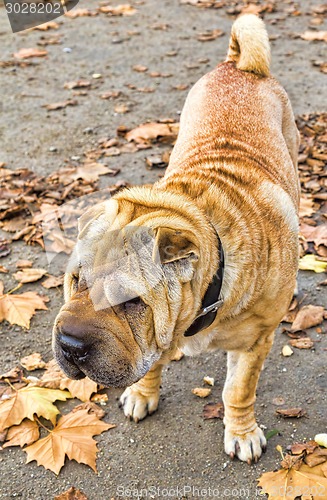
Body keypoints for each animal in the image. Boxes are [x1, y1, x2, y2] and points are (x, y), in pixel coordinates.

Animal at [53, 12, 300, 464]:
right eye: (75, 281)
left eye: (130, 301)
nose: (70, 345)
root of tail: (240, 66)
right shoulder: (155, 337)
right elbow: (151, 362)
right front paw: (142, 393)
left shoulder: (256, 341)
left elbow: (238, 390)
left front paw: (242, 433)